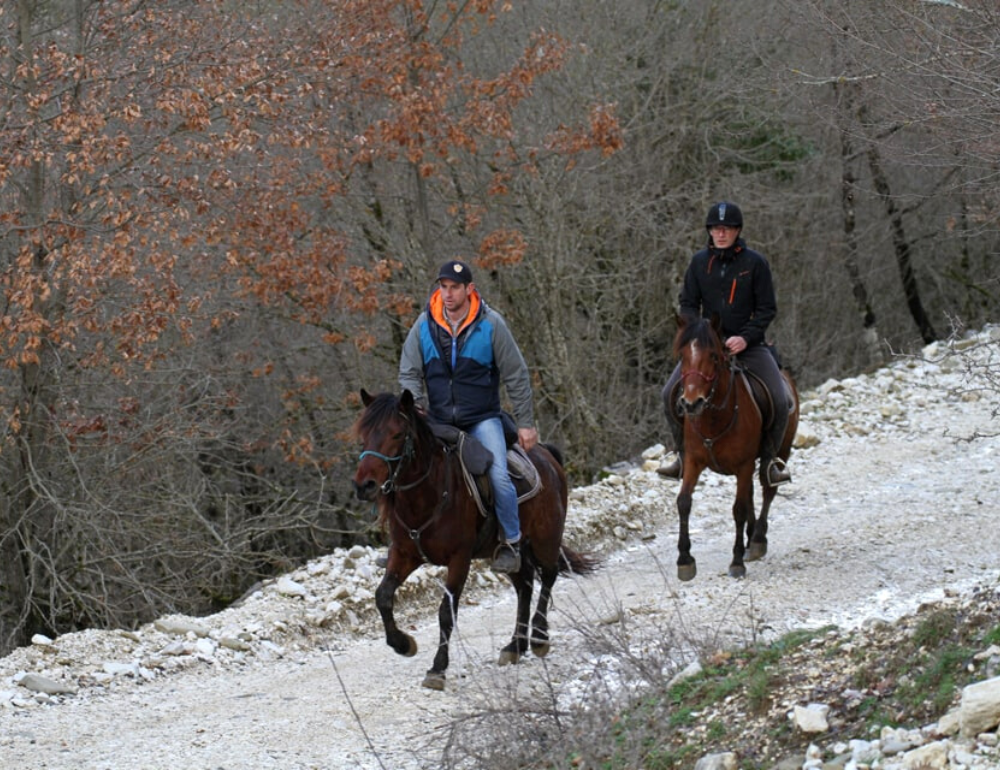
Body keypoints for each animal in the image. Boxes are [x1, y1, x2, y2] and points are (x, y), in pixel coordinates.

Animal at [352, 390, 596, 688]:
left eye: (397, 434)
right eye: (363, 434)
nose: (364, 485)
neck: (427, 494)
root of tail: (547, 455)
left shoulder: (460, 559)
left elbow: (446, 612)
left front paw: (437, 668)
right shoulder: (404, 554)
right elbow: (383, 597)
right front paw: (403, 643)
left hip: (545, 537)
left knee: (548, 575)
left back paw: (538, 638)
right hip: (507, 553)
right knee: (525, 584)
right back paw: (515, 646)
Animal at [668, 312, 800, 576]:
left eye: (713, 355)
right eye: (683, 356)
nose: (691, 403)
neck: (714, 417)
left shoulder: (744, 464)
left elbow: (738, 509)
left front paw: (737, 561)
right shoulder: (693, 461)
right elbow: (684, 502)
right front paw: (685, 560)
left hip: (780, 450)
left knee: (768, 489)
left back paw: (757, 539)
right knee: (751, 493)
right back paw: (751, 539)